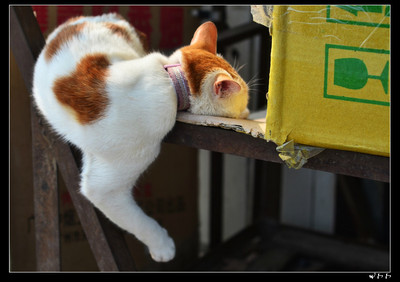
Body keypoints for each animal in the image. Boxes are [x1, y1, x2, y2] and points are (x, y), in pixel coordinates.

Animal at [32, 12, 248, 262]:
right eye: (245, 98)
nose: (247, 112)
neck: (173, 81)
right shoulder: (105, 188)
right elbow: (136, 221)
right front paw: (162, 246)